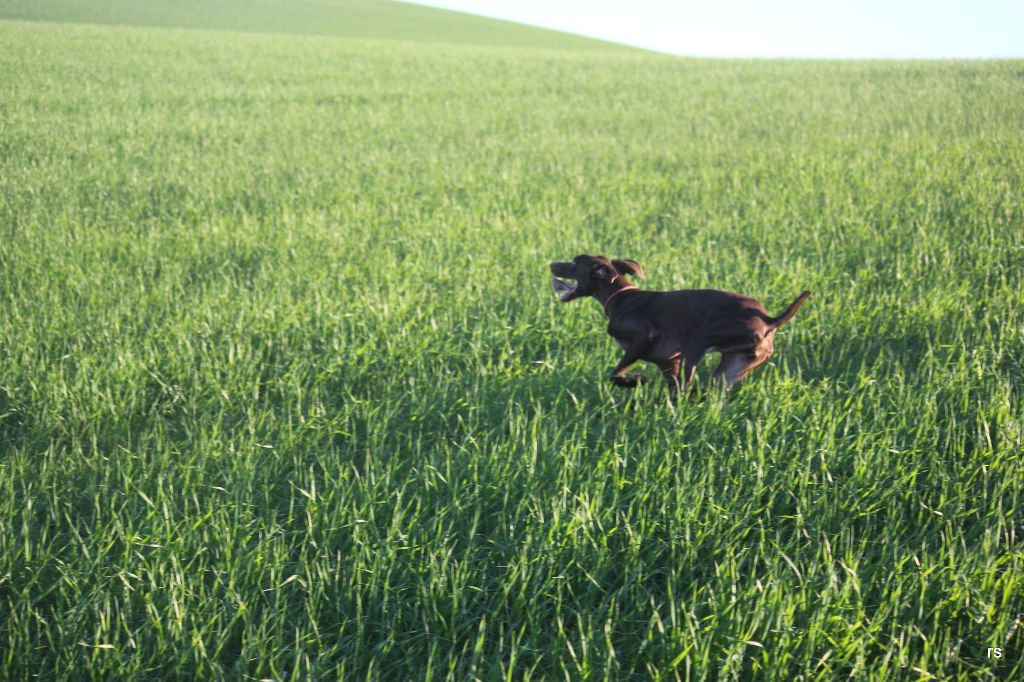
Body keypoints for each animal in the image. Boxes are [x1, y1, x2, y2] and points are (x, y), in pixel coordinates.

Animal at [552, 253, 806, 393]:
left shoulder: (645, 336)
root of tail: (769, 320)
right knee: (708, 390)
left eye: (574, 263)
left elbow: (616, 374)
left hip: (698, 342)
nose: (551, 264)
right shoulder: (668, 362)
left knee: (689, 386)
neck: (619, 296)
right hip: (732, 367)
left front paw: (635, 381)